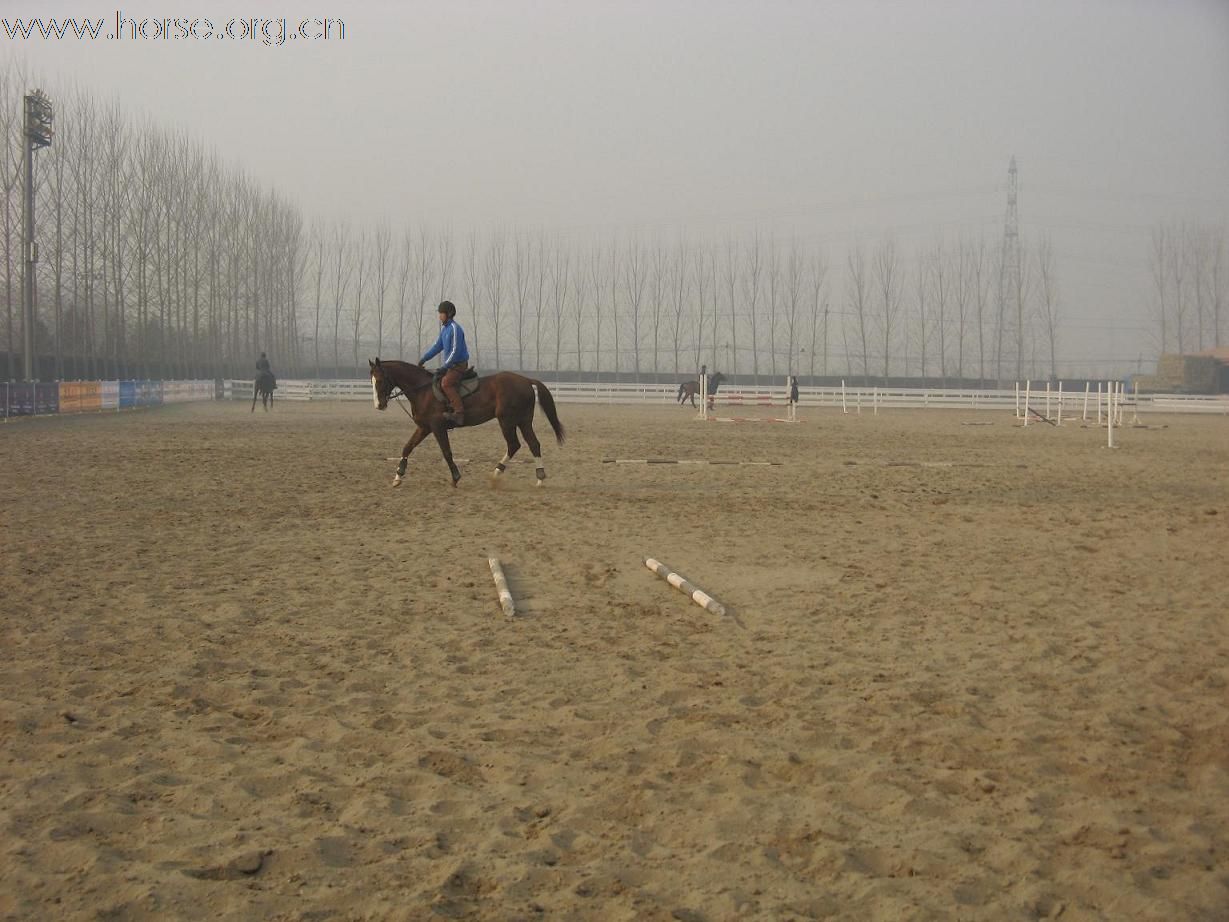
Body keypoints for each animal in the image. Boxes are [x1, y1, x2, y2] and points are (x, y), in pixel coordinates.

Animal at [366, 358, 562, 491]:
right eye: (372, 381)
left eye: (380, 380)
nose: (379, 405)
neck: (423, 390)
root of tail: (526, 380)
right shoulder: (424, 428)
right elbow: (407, 447)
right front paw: (398, 476)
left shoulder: (437, 427)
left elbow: (446, 452)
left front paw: (455, 477)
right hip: (523, 421)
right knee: (533, 444)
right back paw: (539, 478)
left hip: (507, 420)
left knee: (514, 444)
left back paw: (496, 474)